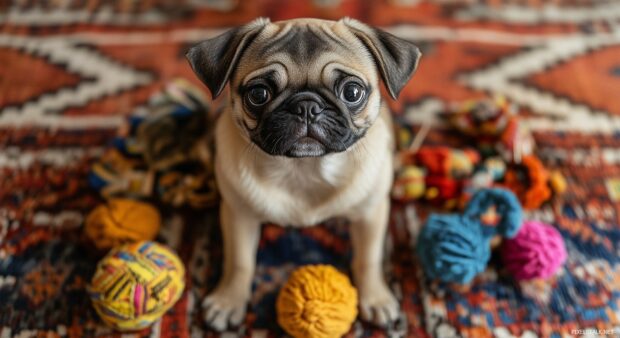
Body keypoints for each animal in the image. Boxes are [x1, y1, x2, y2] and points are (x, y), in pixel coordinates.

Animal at [186, 17, 422, 330]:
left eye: (352, 92)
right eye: (258, 94)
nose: (306, 106)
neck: (304, 168)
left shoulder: (370, 213)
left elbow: (368, 258)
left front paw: (376, 298)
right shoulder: (238, 214)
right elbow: (239, 261)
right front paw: (228, 301)